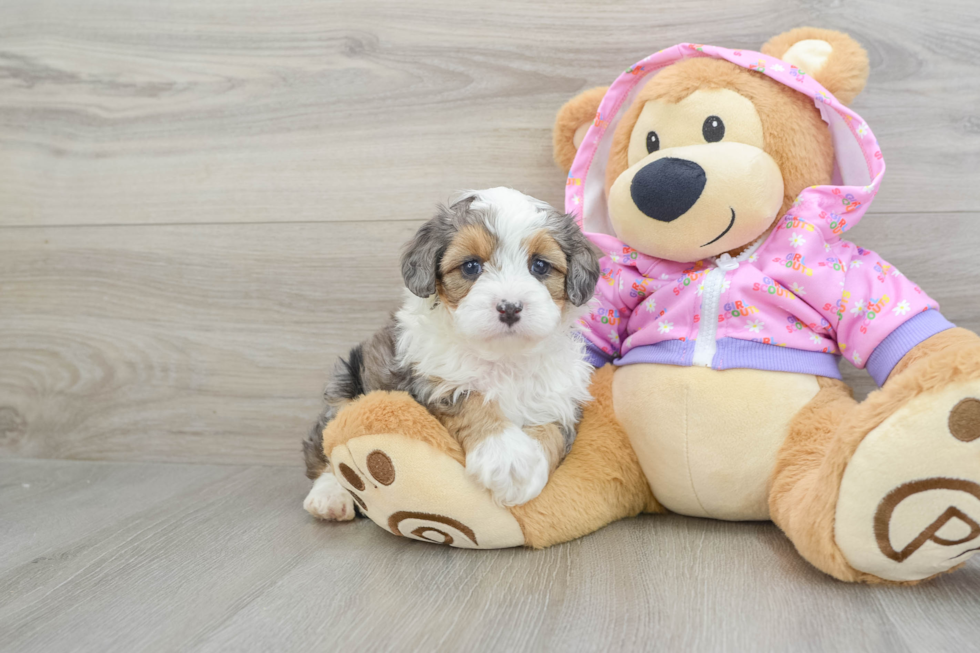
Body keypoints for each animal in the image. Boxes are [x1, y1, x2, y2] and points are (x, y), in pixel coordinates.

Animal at [302, 185, 600, 520]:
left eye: (540, 266)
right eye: (471, 266)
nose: (509, 307)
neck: (504, 357)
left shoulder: (560, 397)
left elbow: (553, 430)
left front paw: (527, 468)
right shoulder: (429, 377)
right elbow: (468, 398)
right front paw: (506, 456)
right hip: (344, 384)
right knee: (325, 443)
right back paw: (329, 495)